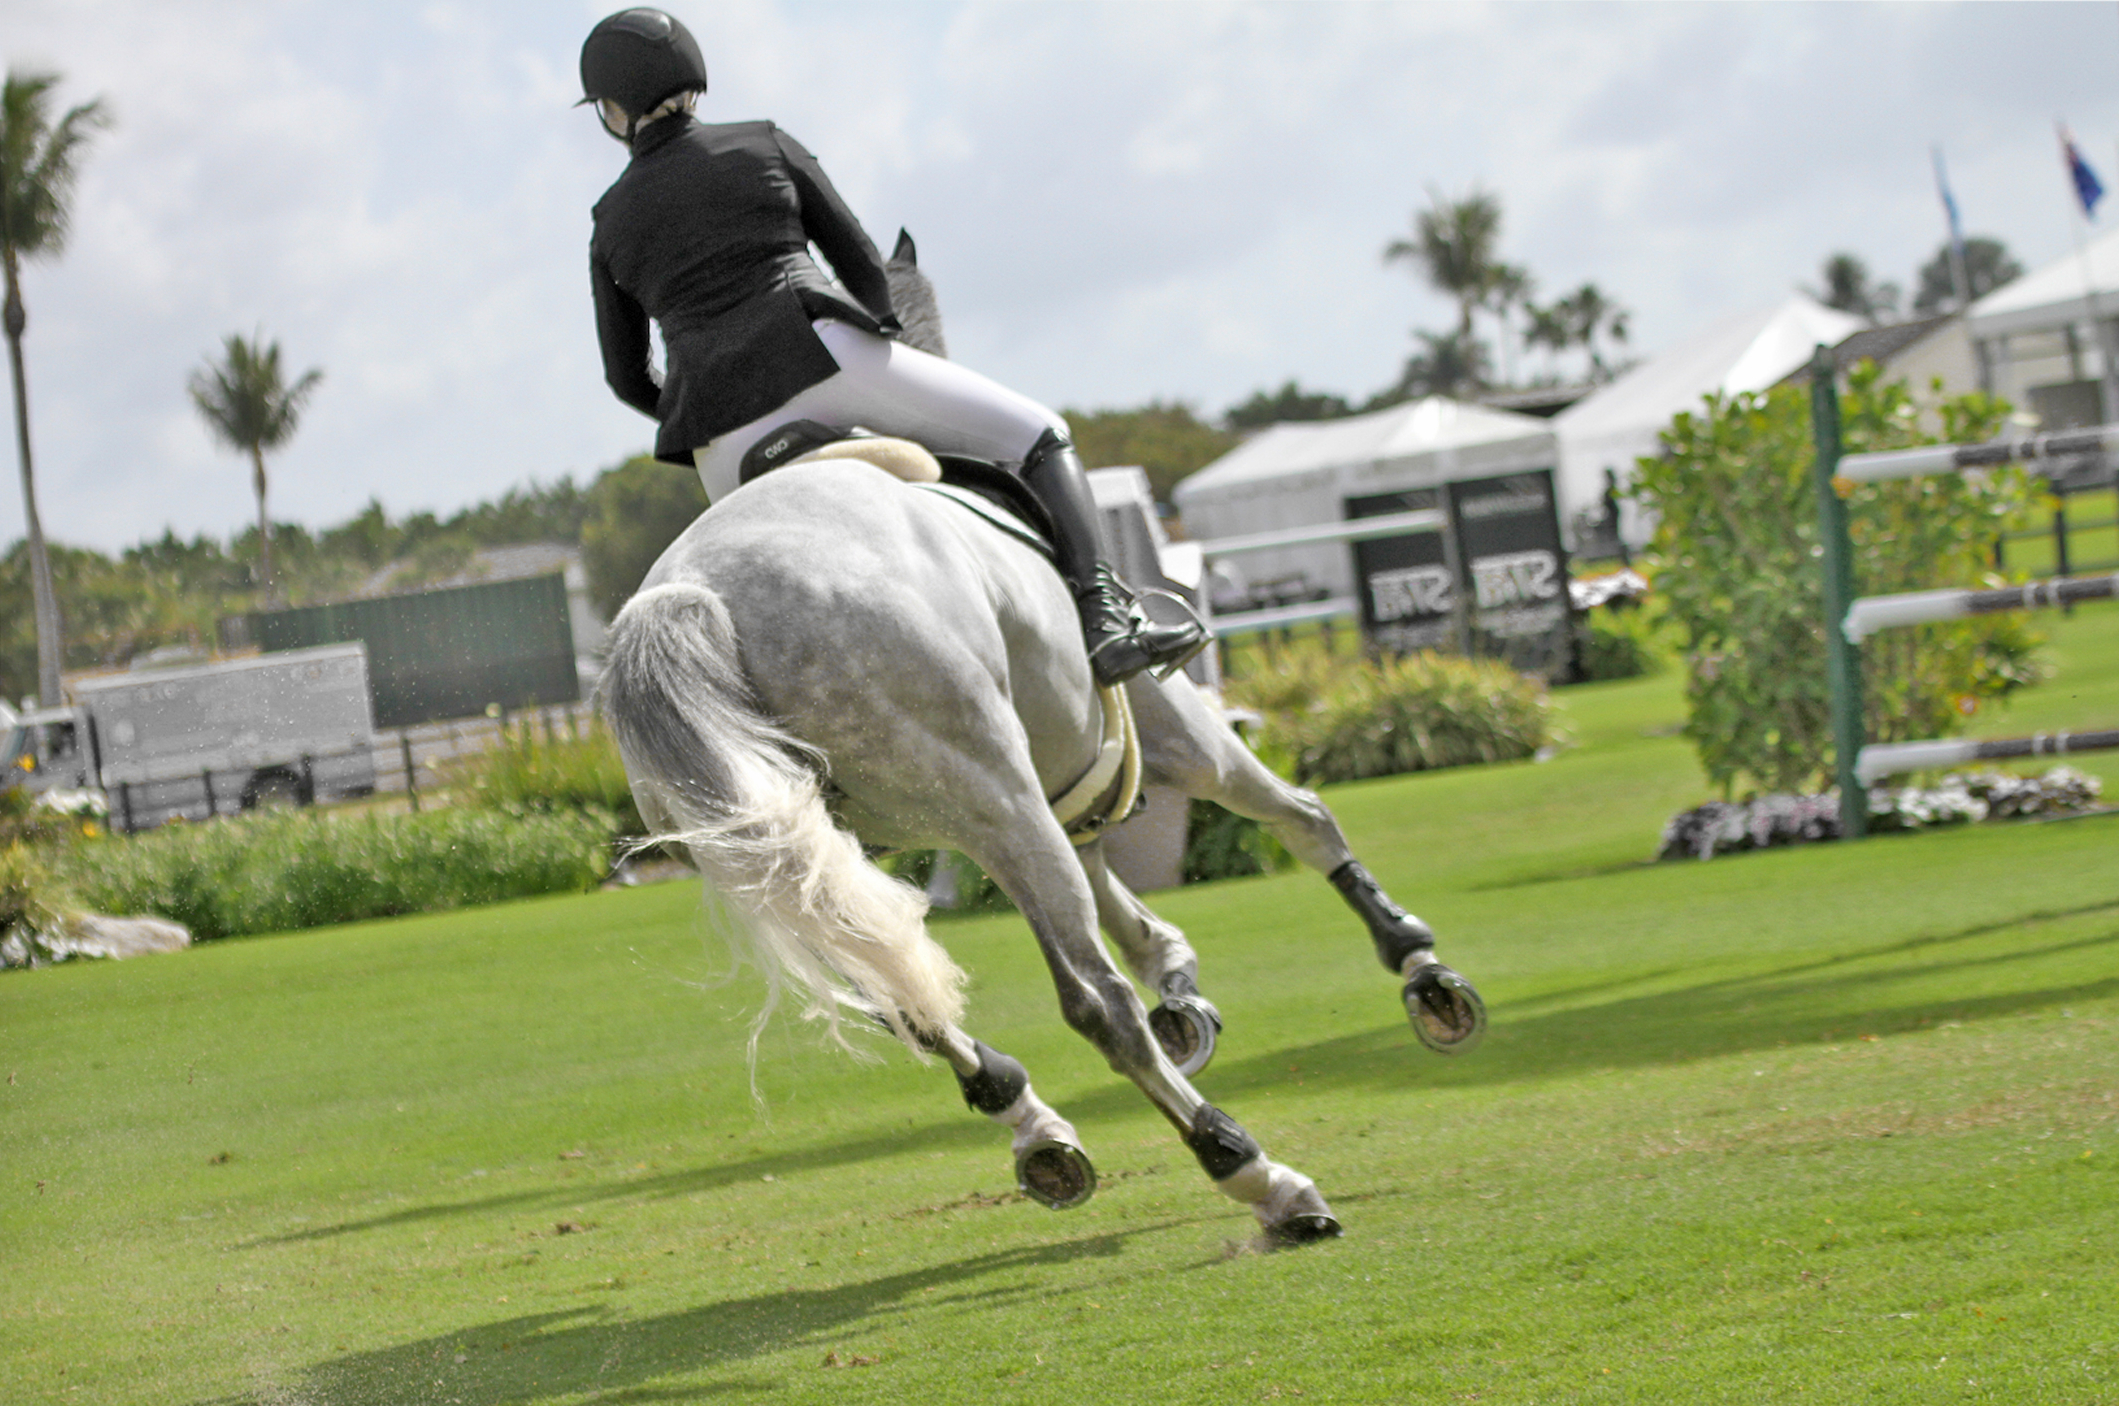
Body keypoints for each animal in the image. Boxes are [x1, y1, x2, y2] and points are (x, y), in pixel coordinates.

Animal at [597, 442, 1487, 1245]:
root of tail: (699, 589)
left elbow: (1111, 894)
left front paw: (1176, 990)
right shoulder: (1164, 731)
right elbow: (1299, 817)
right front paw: (1422, 970)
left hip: (789, 858)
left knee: (911, 1004)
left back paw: (1038, 1128)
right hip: (995, 793)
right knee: (1098, 1002)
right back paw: (1254, 1173)